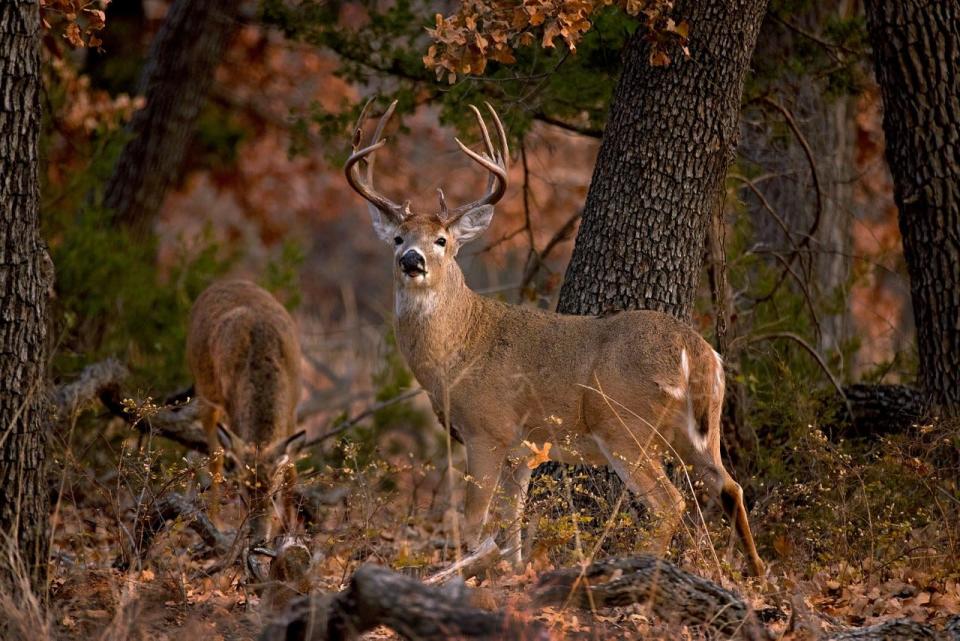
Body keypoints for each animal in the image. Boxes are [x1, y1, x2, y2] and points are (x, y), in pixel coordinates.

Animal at [186, 280, 306, 540]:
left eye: (274, 496)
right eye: (242, 496)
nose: (259, 537)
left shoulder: (293, 409)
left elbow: (291, 468)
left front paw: (288, 529)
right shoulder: (232, 407)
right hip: (204, 389)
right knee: (216, 456)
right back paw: (215, 522)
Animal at [344, 102, 764, 576]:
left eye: (442, 240)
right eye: (398, 237)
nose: (411, 260)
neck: (458, 353)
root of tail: (695, 349)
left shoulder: (487, 429)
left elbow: (474, 525)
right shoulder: (523, 451)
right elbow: (511, 529)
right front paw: (513, 576)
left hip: (623, 423)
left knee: (670, 503)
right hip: (699, 429)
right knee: (730, 487)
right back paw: (756, 573)